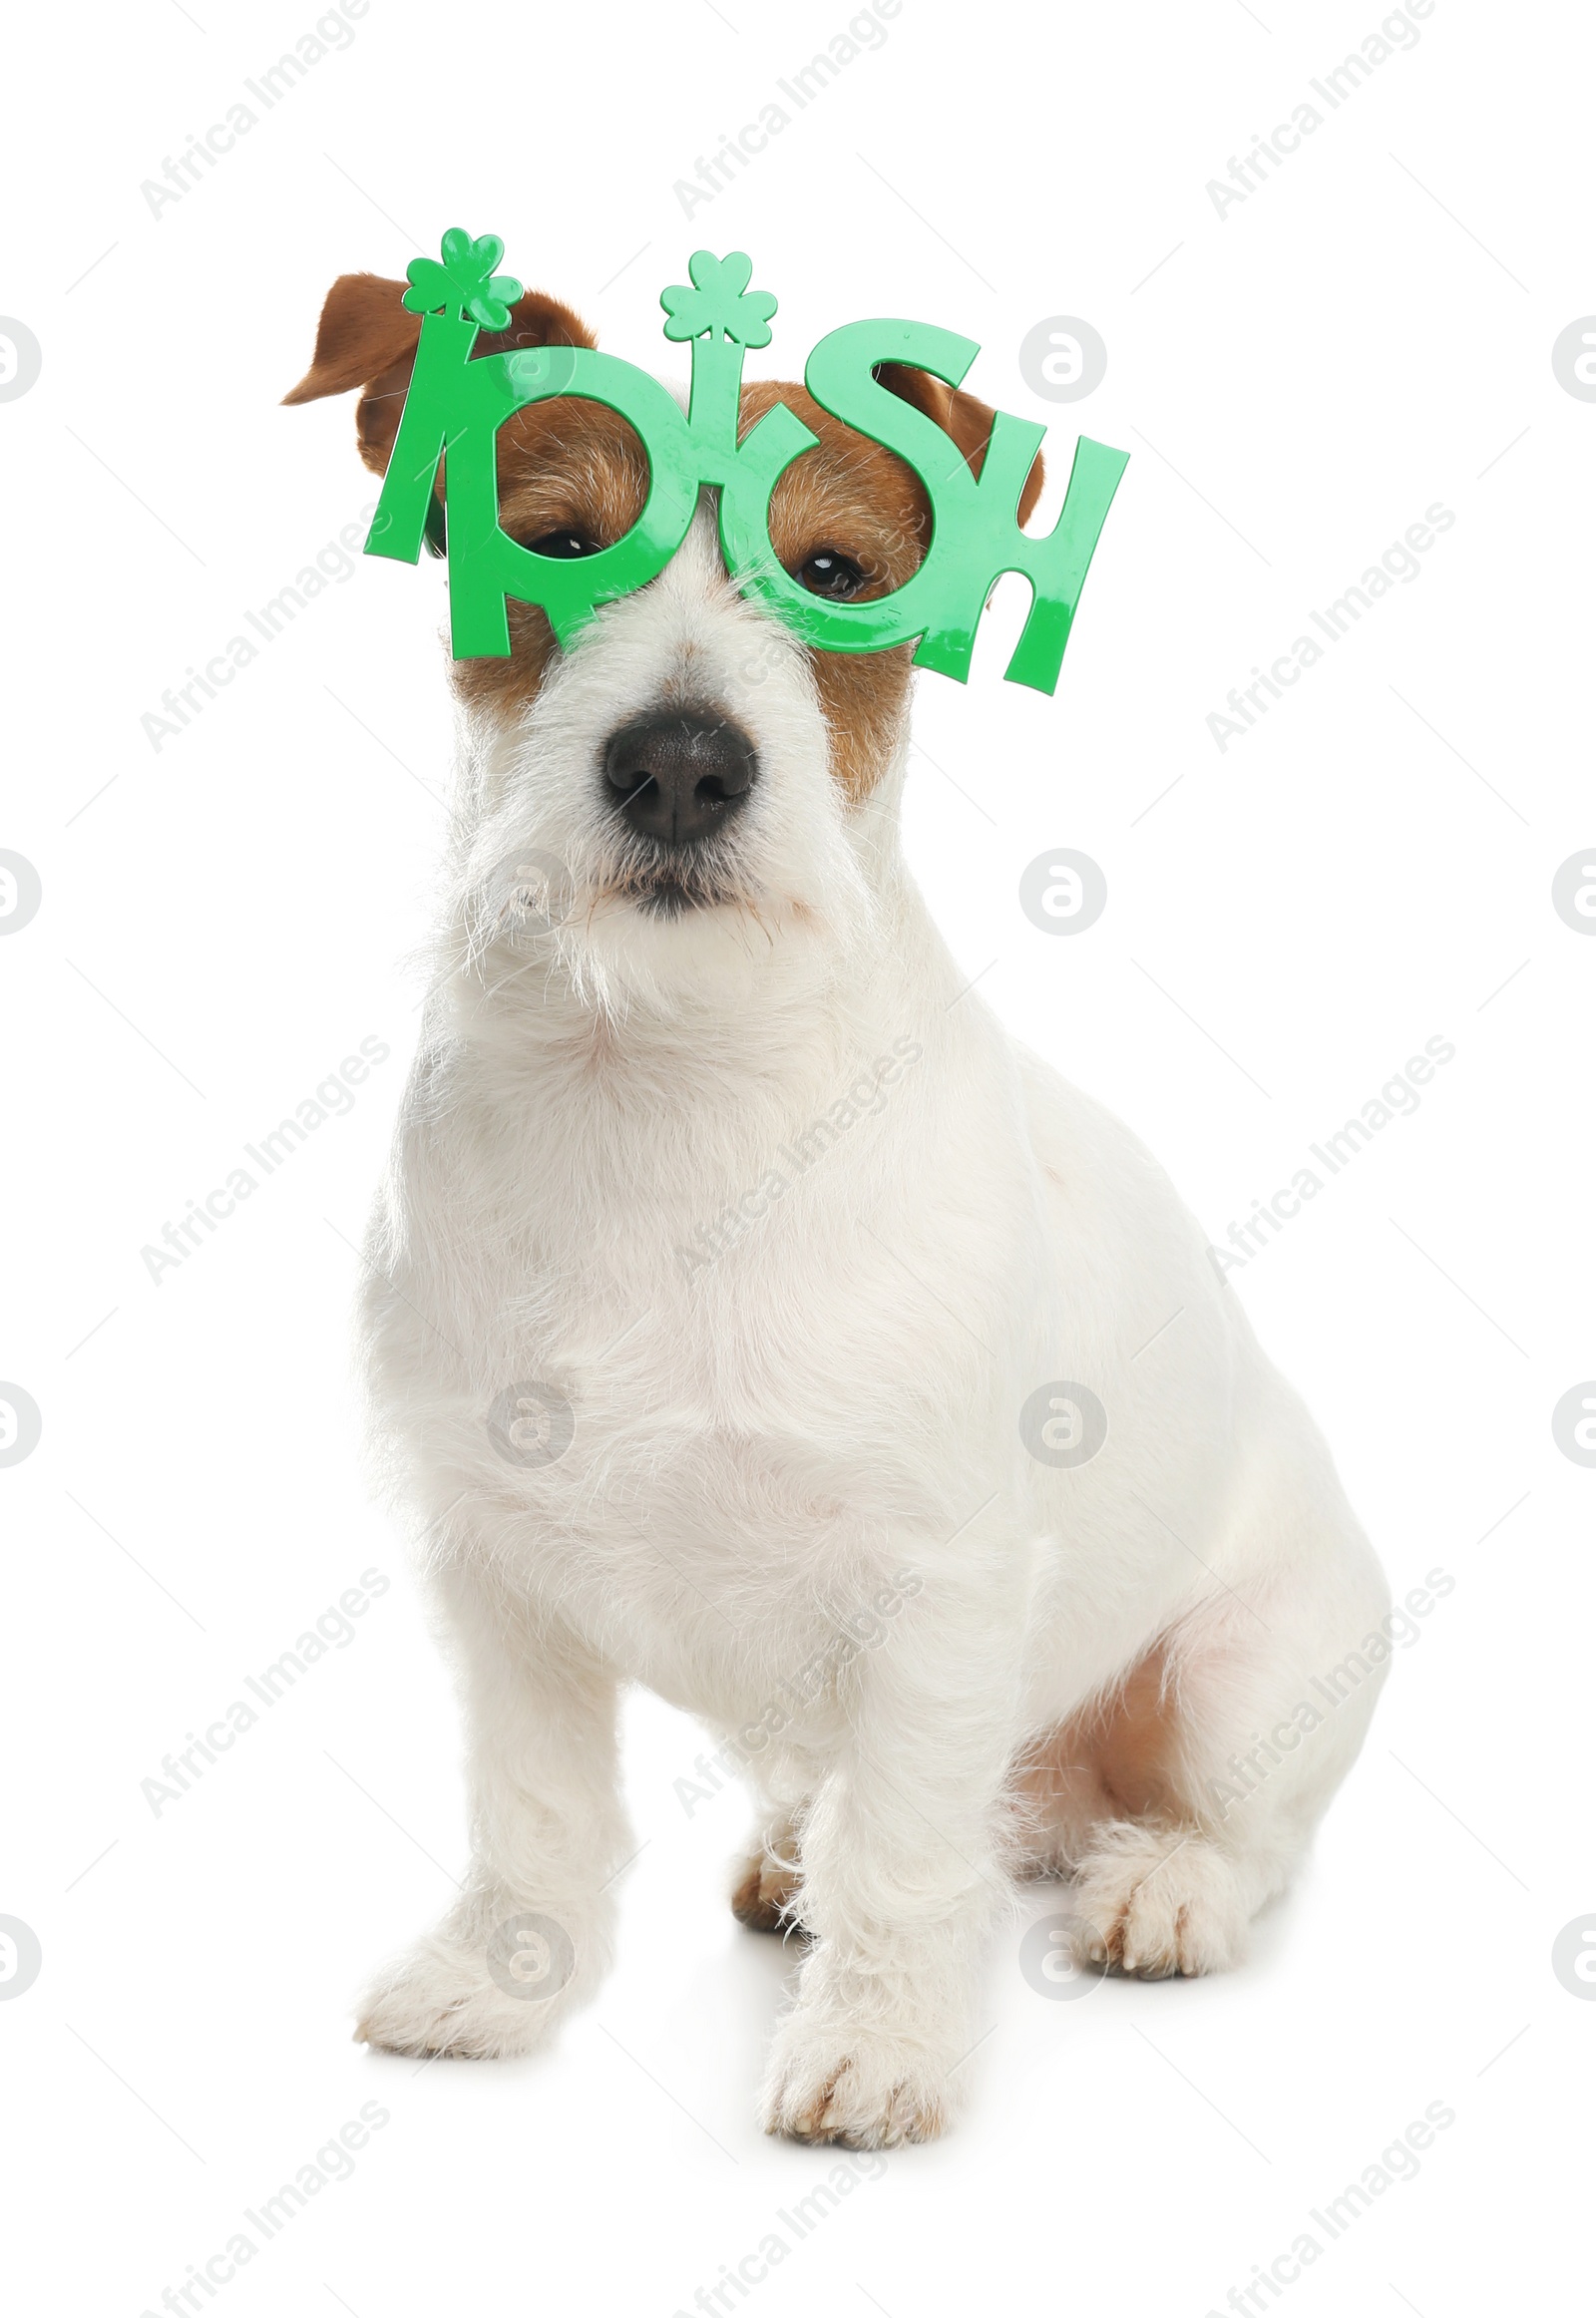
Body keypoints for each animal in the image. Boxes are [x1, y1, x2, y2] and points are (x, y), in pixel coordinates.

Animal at [289, 266, 1392, 2150]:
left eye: (838, 573)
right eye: (551, 543)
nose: (678, 764)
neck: (662, 1092)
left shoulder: (937, 1588)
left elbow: (908, 1853)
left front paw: (875, 2045)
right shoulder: (496, 1572)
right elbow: (538, 1811)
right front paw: (502, 1981)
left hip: (1251, 1670)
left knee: (1244, 1834)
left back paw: (1160, 1883)